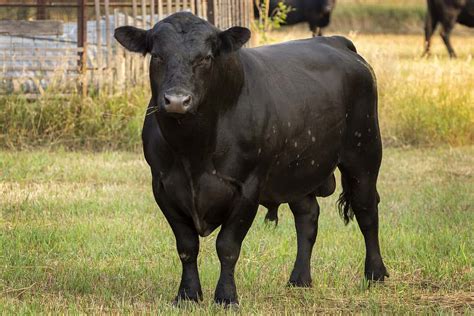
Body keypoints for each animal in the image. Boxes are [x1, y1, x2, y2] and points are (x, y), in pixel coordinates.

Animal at [115, 12, 388, 306]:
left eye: (206, 58)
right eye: (157, 56)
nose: (177, 101)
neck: (193, 152)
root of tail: (337, 41)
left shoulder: (247, 187)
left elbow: (227, 246)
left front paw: (226, 297)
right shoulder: (163, 187)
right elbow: (187, 246)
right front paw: (187, 295)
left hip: (364, 154)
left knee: (367, 211)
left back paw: (376, 274)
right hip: (297, 171)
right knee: (307, 217)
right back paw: (299, 279)